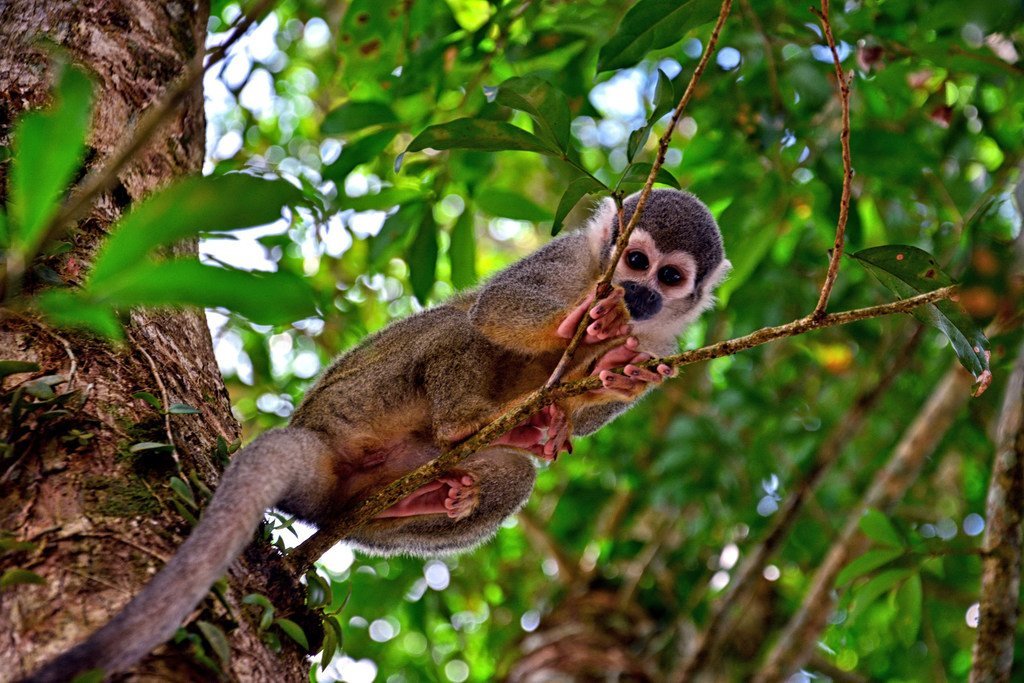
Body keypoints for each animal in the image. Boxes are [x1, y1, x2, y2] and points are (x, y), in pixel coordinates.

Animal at [23, 188, 728, 682]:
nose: (637, 293)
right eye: (634, 259)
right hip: (356, 399)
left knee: (507, 472)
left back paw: (429, 493)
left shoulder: (665, 339)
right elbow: (495, 312)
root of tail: (312, 437)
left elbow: (598, 400)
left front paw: (606, 378)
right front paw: (583, 321)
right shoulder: (572, 257)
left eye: (669, 278)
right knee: (455, 325)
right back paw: (461, 420)